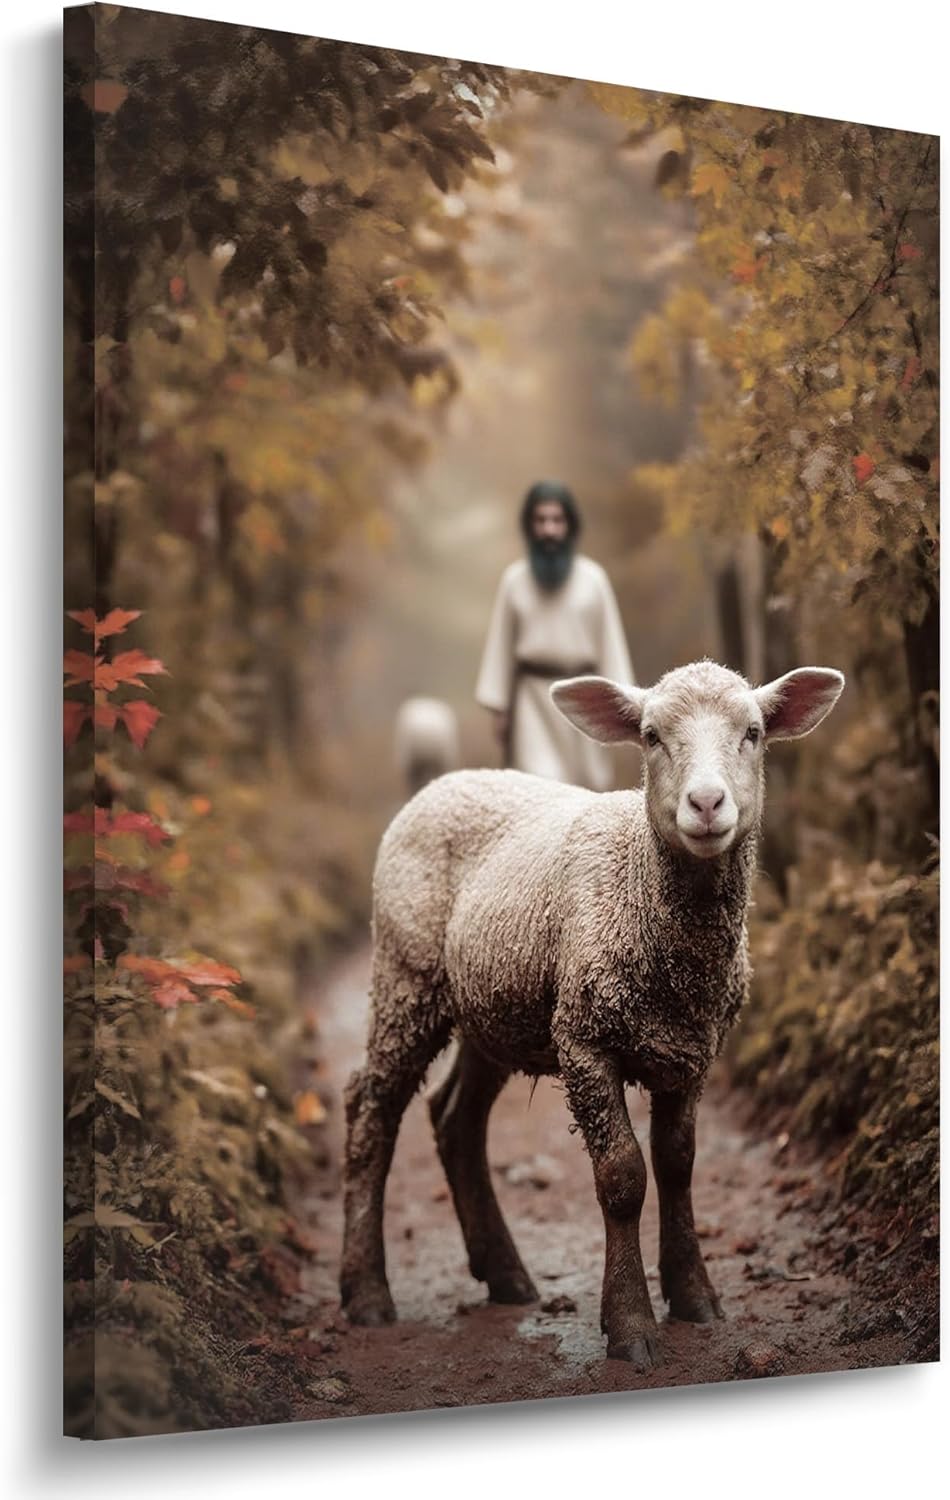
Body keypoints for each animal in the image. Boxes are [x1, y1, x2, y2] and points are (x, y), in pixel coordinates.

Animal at [340, 659, 844, 1368]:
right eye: (651, 735)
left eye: (752, 732)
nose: (707, 804)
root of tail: (448, 781)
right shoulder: (584, 1042)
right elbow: (624, 1177)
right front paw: (630, 1323)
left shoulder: (692, 1050)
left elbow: (679, 1164)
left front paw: (695, 1296)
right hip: (405, 974)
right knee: (372, 1112)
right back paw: (366, 1292)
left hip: (497, 1007)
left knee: (455, 1118)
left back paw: (506, 1275)